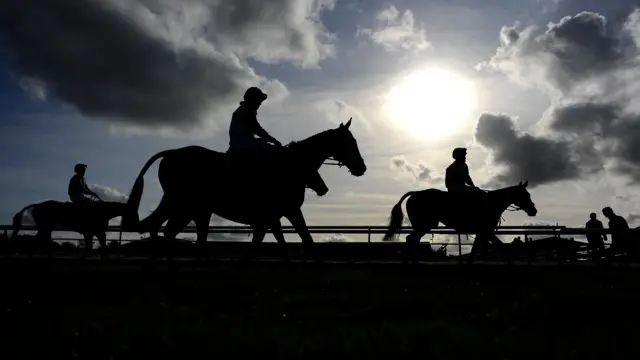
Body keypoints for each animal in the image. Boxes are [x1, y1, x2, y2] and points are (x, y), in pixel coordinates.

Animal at [144, 165, 330, 260]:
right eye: (313, 171)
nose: (324, 189)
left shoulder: (270, 219)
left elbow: (270, 238)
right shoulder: (274, 216)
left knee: (169, 229)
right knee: (168, 229)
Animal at [382, 183, 536, 264]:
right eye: (525, 195)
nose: (534, 210)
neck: (492, 203)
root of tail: (415, 193)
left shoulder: (482, 232)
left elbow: (477, 248)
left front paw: (470, 262)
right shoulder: (487, 231)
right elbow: (501, 246)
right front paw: (512, 259)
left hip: (422, 226)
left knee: (413, 239)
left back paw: (411, 260)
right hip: (425, 225)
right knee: (411, 239)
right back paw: (410, 261)